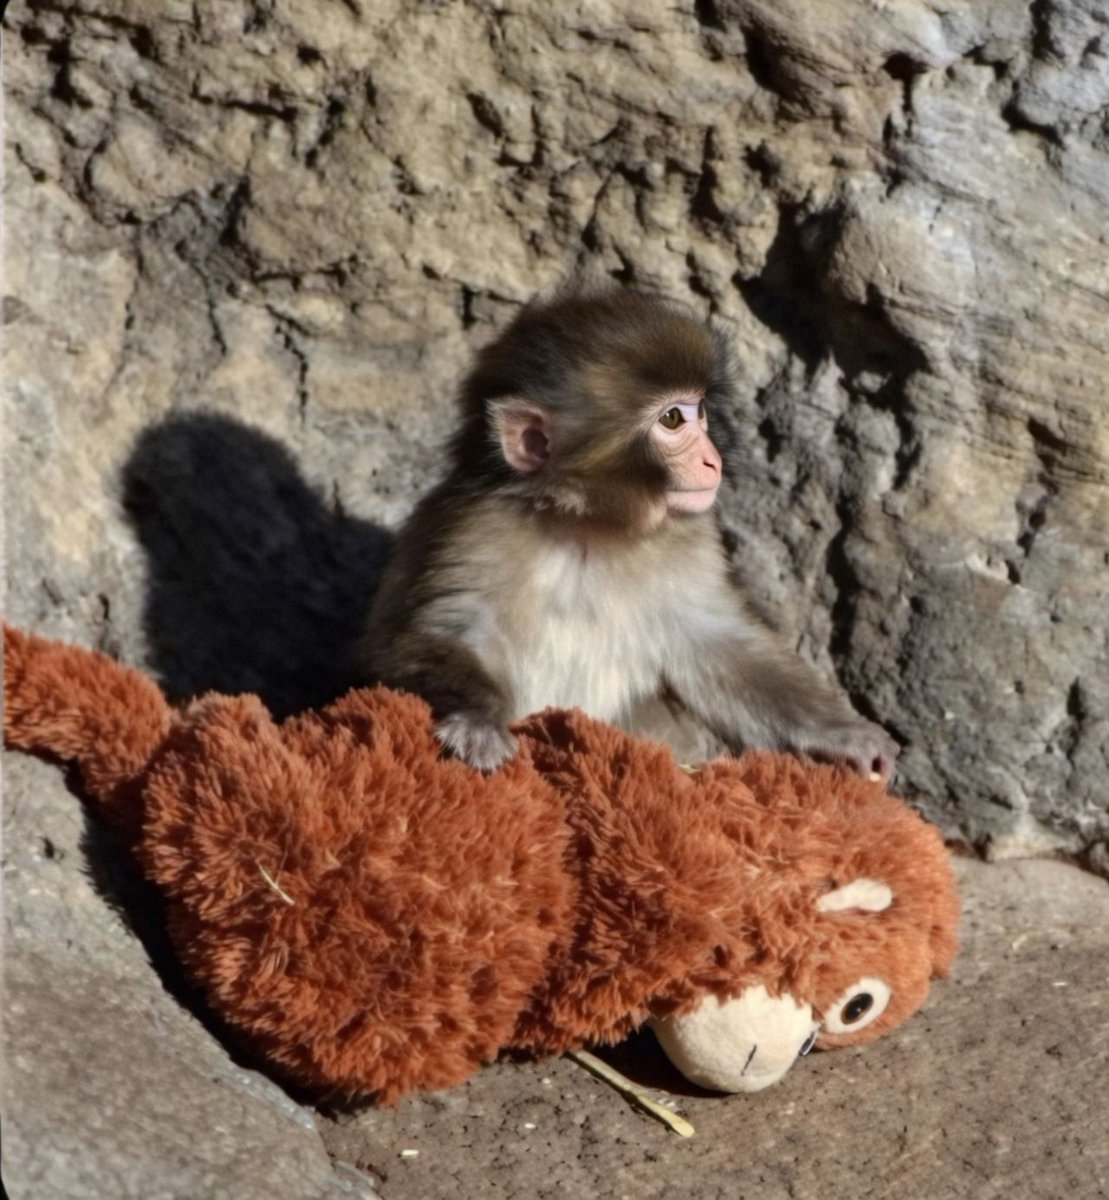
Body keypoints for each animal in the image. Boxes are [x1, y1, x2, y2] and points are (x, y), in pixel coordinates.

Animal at [362, 286, 899, 780]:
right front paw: (478, 719)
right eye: (673, 419)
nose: (713, 460)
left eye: (700, 411)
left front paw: (846, 736)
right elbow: (423, 638)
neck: (585, 528)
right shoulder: (473, 531)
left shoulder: (689, 541)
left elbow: (718, 645)